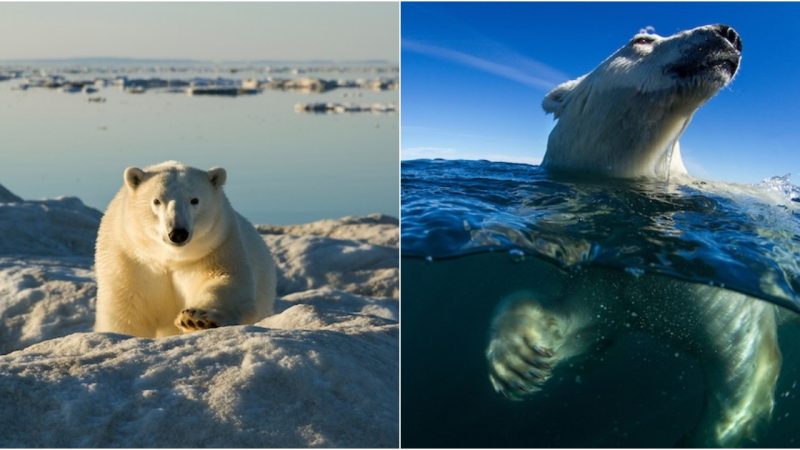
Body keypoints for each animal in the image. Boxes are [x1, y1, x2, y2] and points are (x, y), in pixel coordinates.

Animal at [92, 162, 276, 338]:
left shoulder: (217, 246)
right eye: (157, 201)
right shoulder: (130, 258)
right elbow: (127, 309)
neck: (170, 258)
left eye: (194, 200)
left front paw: (195, 320)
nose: (178, 233)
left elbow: (226, 282)